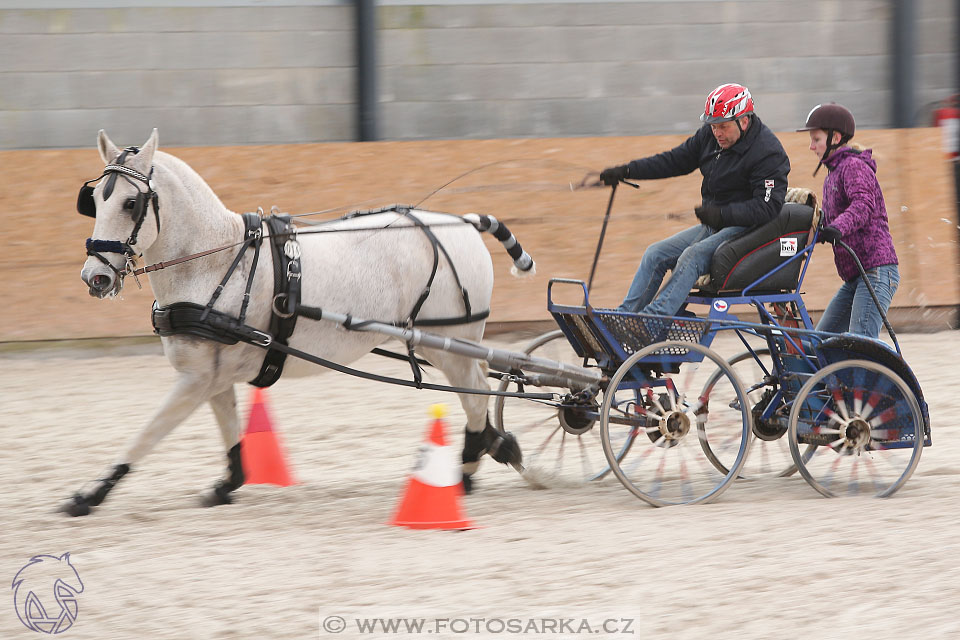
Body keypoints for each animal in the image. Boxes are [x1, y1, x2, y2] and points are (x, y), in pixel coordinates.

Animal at [67, 129, 532, 516]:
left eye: (131, 203)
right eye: (95, 201)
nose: (95, 277)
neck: (214, 261)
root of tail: (461, 221)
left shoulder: (195, 379)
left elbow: (147, 434)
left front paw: (90, 494)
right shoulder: (211, 373)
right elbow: (229, 430)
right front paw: (227, 485)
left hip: (448, 341)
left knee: (475, 394)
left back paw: (468, 470)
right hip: (444, 345)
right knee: (480, 388)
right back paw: (494, 446)